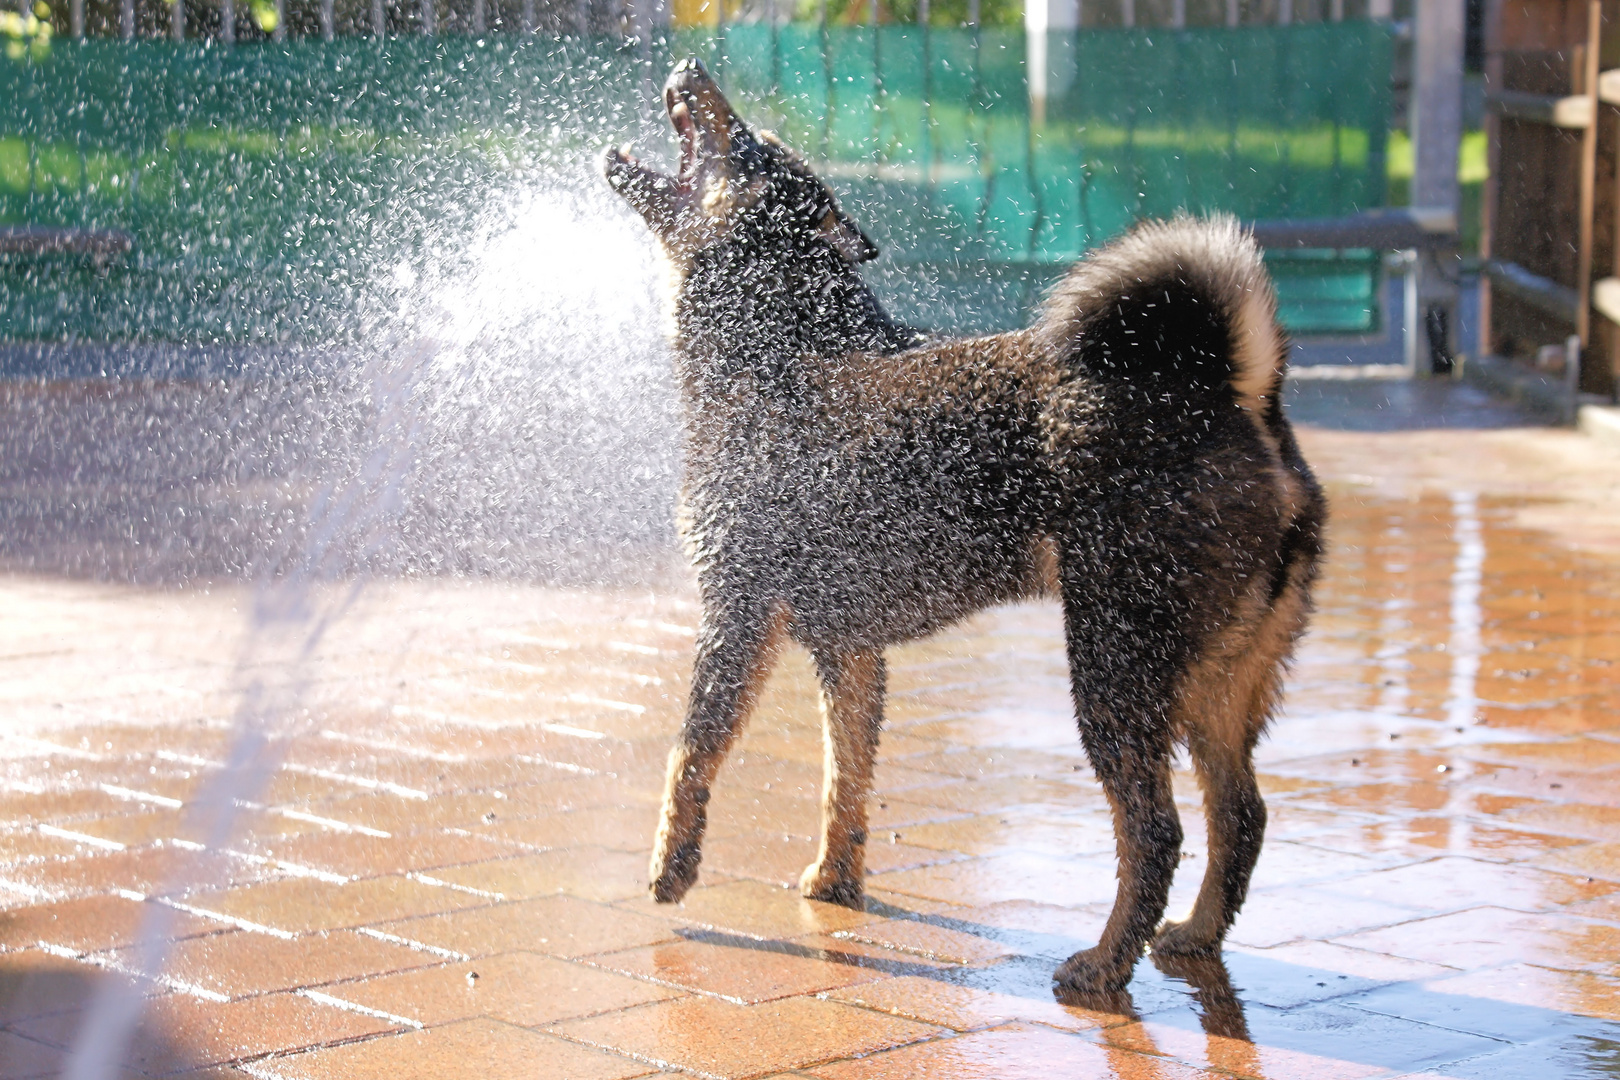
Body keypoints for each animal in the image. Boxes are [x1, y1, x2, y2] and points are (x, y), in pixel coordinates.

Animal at [602, 55, 1321, 990]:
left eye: (751, 140)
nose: (691, 65)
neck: (783, 343)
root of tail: (1240, 395)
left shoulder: (736, 614)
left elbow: (691, 752)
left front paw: (671, 868)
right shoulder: (847, 648)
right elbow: (845, 778)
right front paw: (835, 881)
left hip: (1115, 669)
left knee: (1155, 831)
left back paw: (1102, 965)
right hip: (1215, 679)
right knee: (1241, 814)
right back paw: (1193, 935)